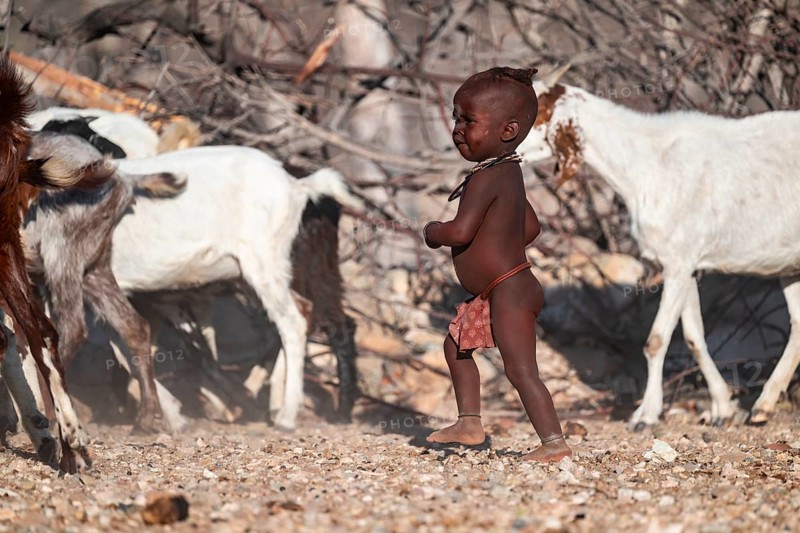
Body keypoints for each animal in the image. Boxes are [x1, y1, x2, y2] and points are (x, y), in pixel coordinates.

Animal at [107, 146, 359, 430]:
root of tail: (298, 187)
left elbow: (184, 349)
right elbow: (131, 347)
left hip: (271, 264)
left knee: (300, 324)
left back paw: (289, 414)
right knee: (310, 315)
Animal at [519, 66, 800, 429]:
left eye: (535, 111)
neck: (648, 166)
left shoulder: (678, 263)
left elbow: (655, 341)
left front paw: (645, 415)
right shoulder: (687, 266)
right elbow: (694, 338)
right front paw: (721, 409)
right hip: (790, 265)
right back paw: (763, 407)